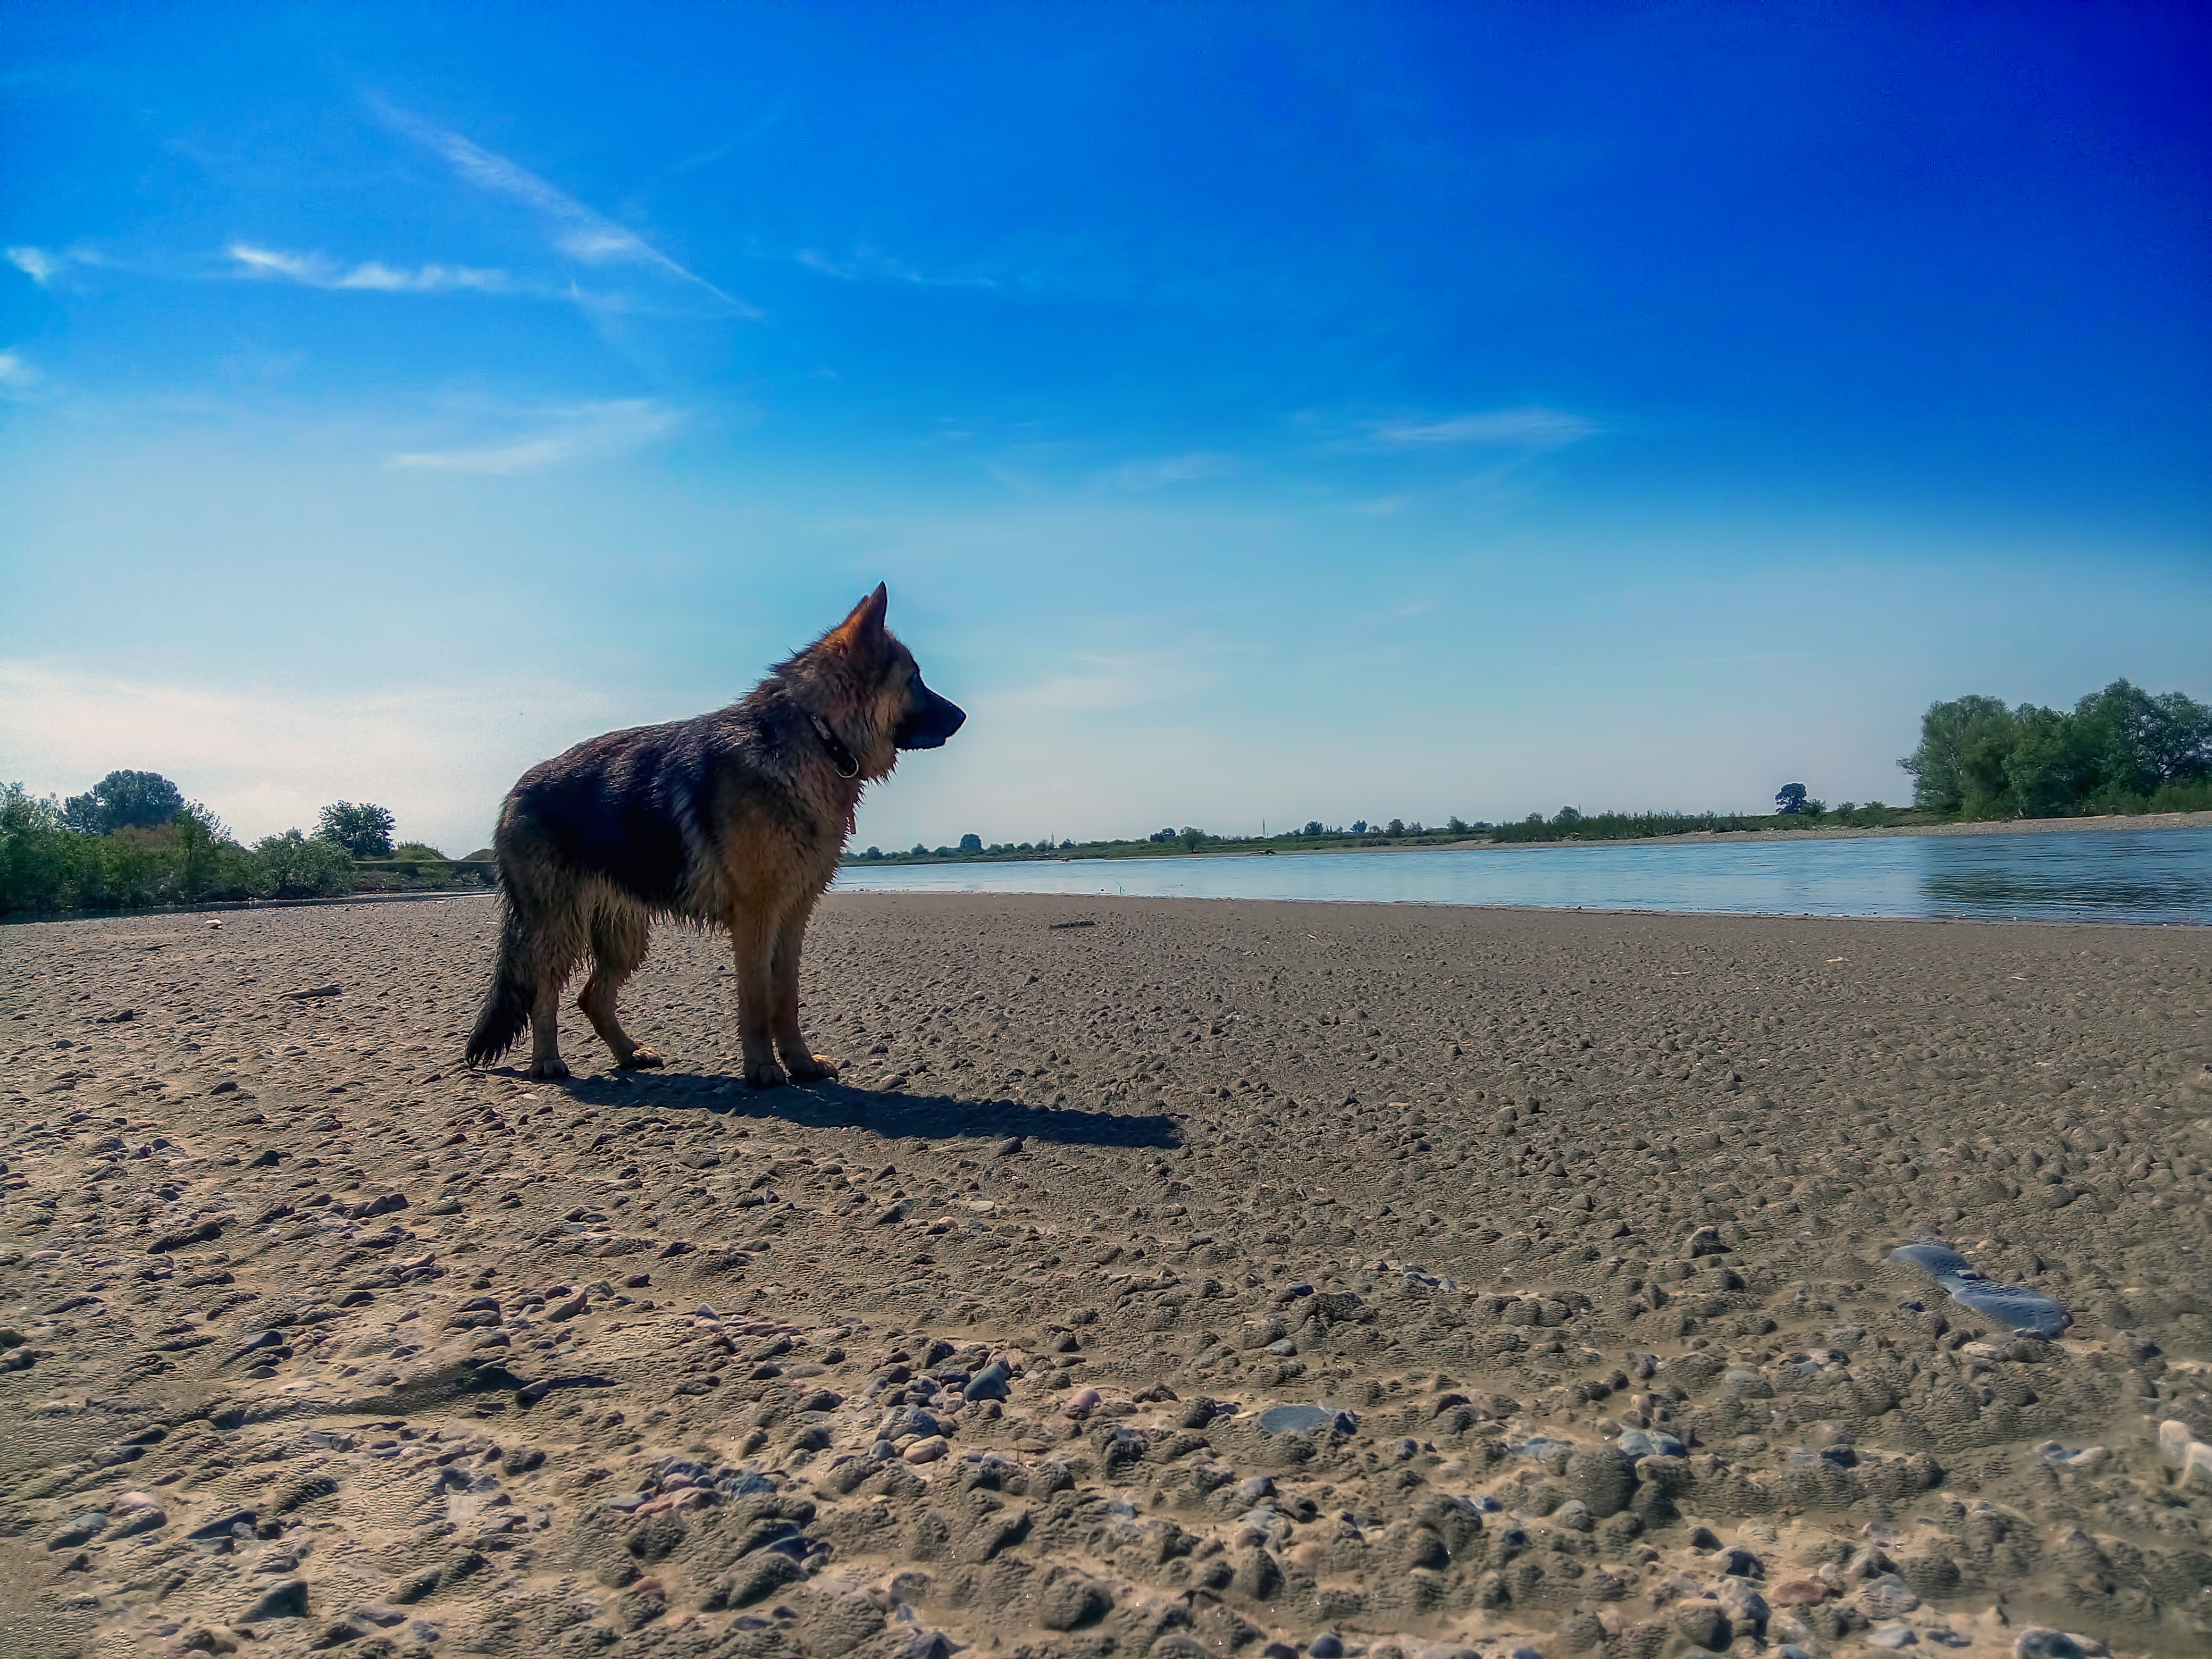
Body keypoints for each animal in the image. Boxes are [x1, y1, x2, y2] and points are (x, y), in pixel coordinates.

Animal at [462, 588, 964, 1093]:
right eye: (915, 679)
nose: (963, 716)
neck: (817, 734)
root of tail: (516, 790)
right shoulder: (756, 916)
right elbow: (756, 999)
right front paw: (762, 1068)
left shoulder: (793, 916)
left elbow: (786, 997)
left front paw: (799, 1062)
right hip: (559, 928)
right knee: (544, 993)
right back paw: (547, 1061)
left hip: (625, 937)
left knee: (592, 998)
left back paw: (629, 1054)